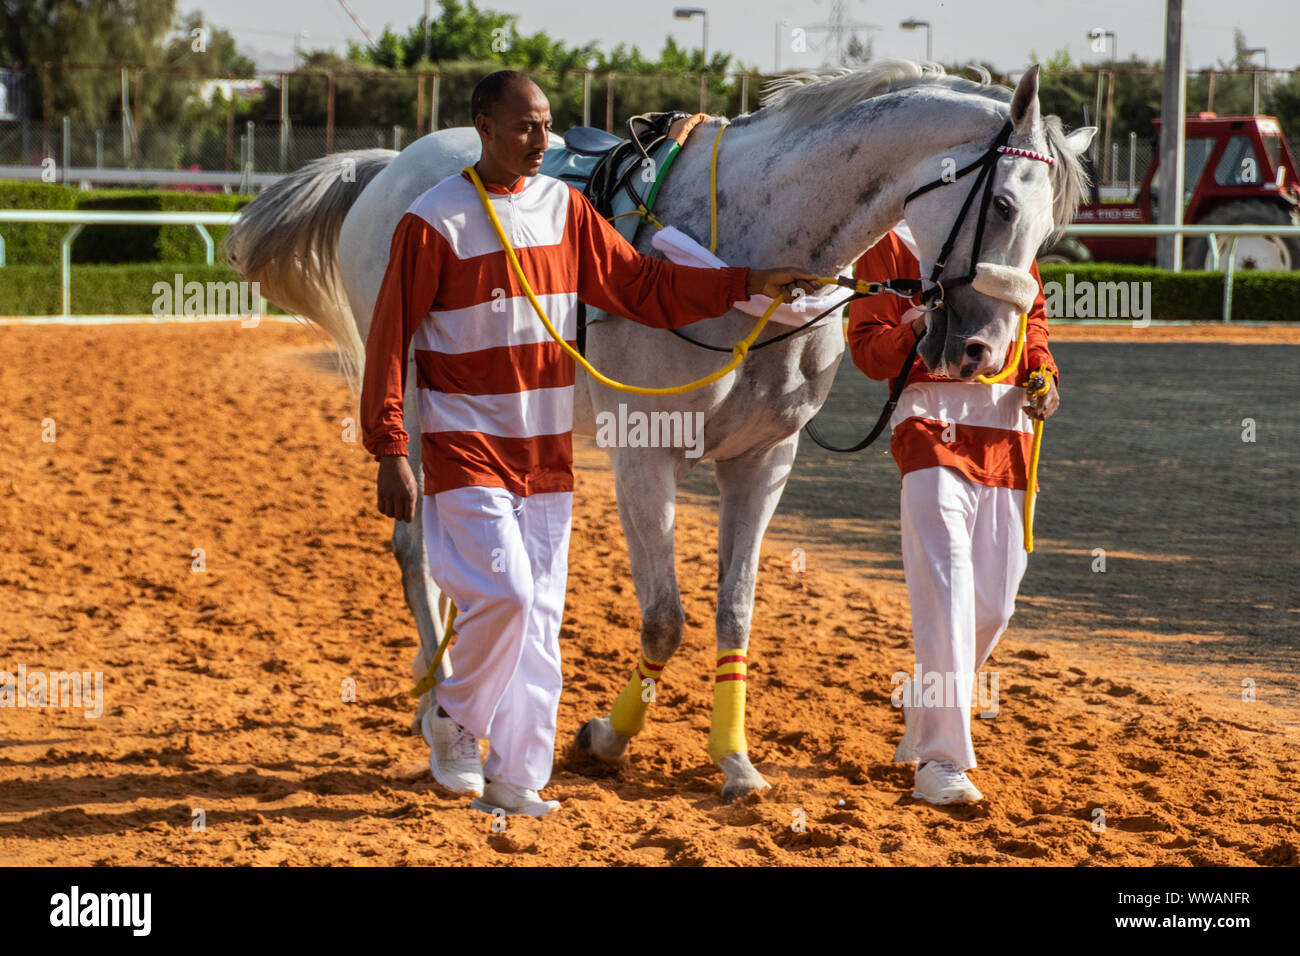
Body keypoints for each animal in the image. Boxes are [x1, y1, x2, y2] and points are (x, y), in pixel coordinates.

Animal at [228, 63, 1092, 806]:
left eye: (1052, 232)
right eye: (1004, 206)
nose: (983, 352)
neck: (748, 242)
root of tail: (389, 166)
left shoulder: (764, 459)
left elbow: (734, 610)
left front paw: (735, 763)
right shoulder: (645, 452)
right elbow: (664, 617)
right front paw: (602, 739)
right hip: (417, 398)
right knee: (416, 548)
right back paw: (439, 703)